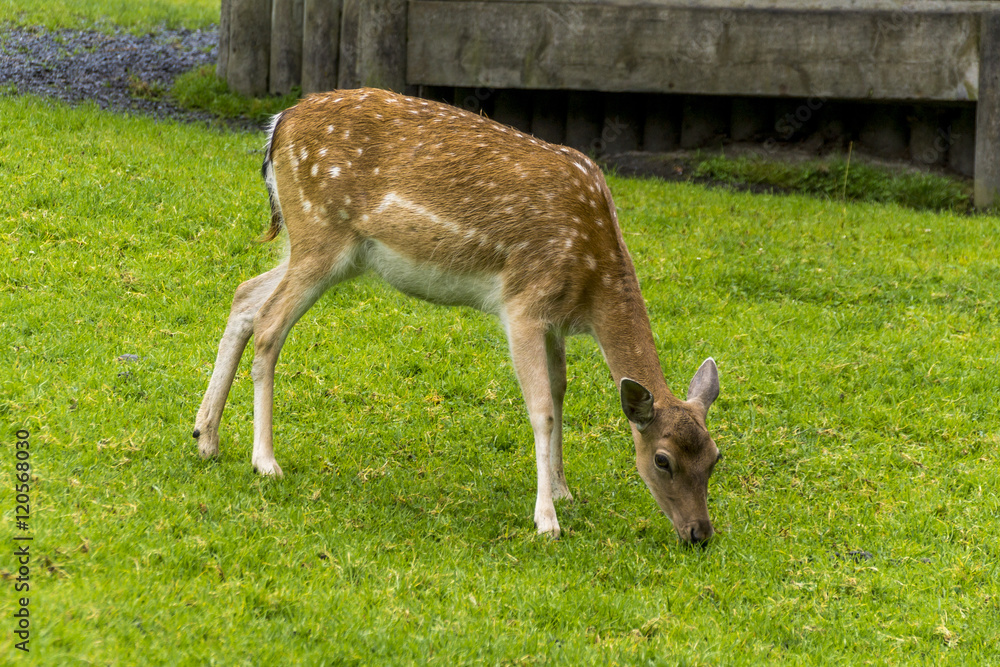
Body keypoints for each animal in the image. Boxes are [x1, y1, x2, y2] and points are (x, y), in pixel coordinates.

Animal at [192, 87, 722, 544]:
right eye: (662, 460)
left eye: (716, 457)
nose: (699, 534)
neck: (592, 282)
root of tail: (277, 125)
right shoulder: (524, 302)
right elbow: (543, 409)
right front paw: (546, 520)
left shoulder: (555, 323)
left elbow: (560, 391)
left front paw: (564, 491)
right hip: (320, 232)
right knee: (269, 325)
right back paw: (265, 461)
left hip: (325, 248)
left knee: (244, 296)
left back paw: (205, 437)